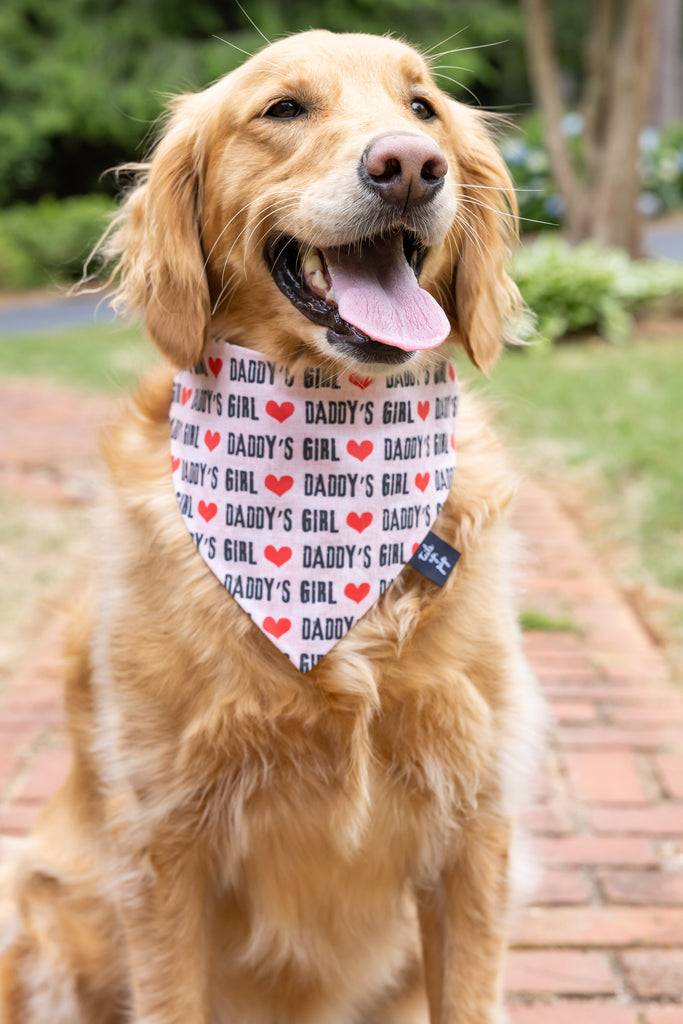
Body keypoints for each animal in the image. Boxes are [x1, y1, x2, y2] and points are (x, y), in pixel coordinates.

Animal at [0, 28, 544, 1024]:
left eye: (422, 108)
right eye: (284, 109)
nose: (411, 166)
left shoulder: (475, 829)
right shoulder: (163, 841)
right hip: (49, 915)